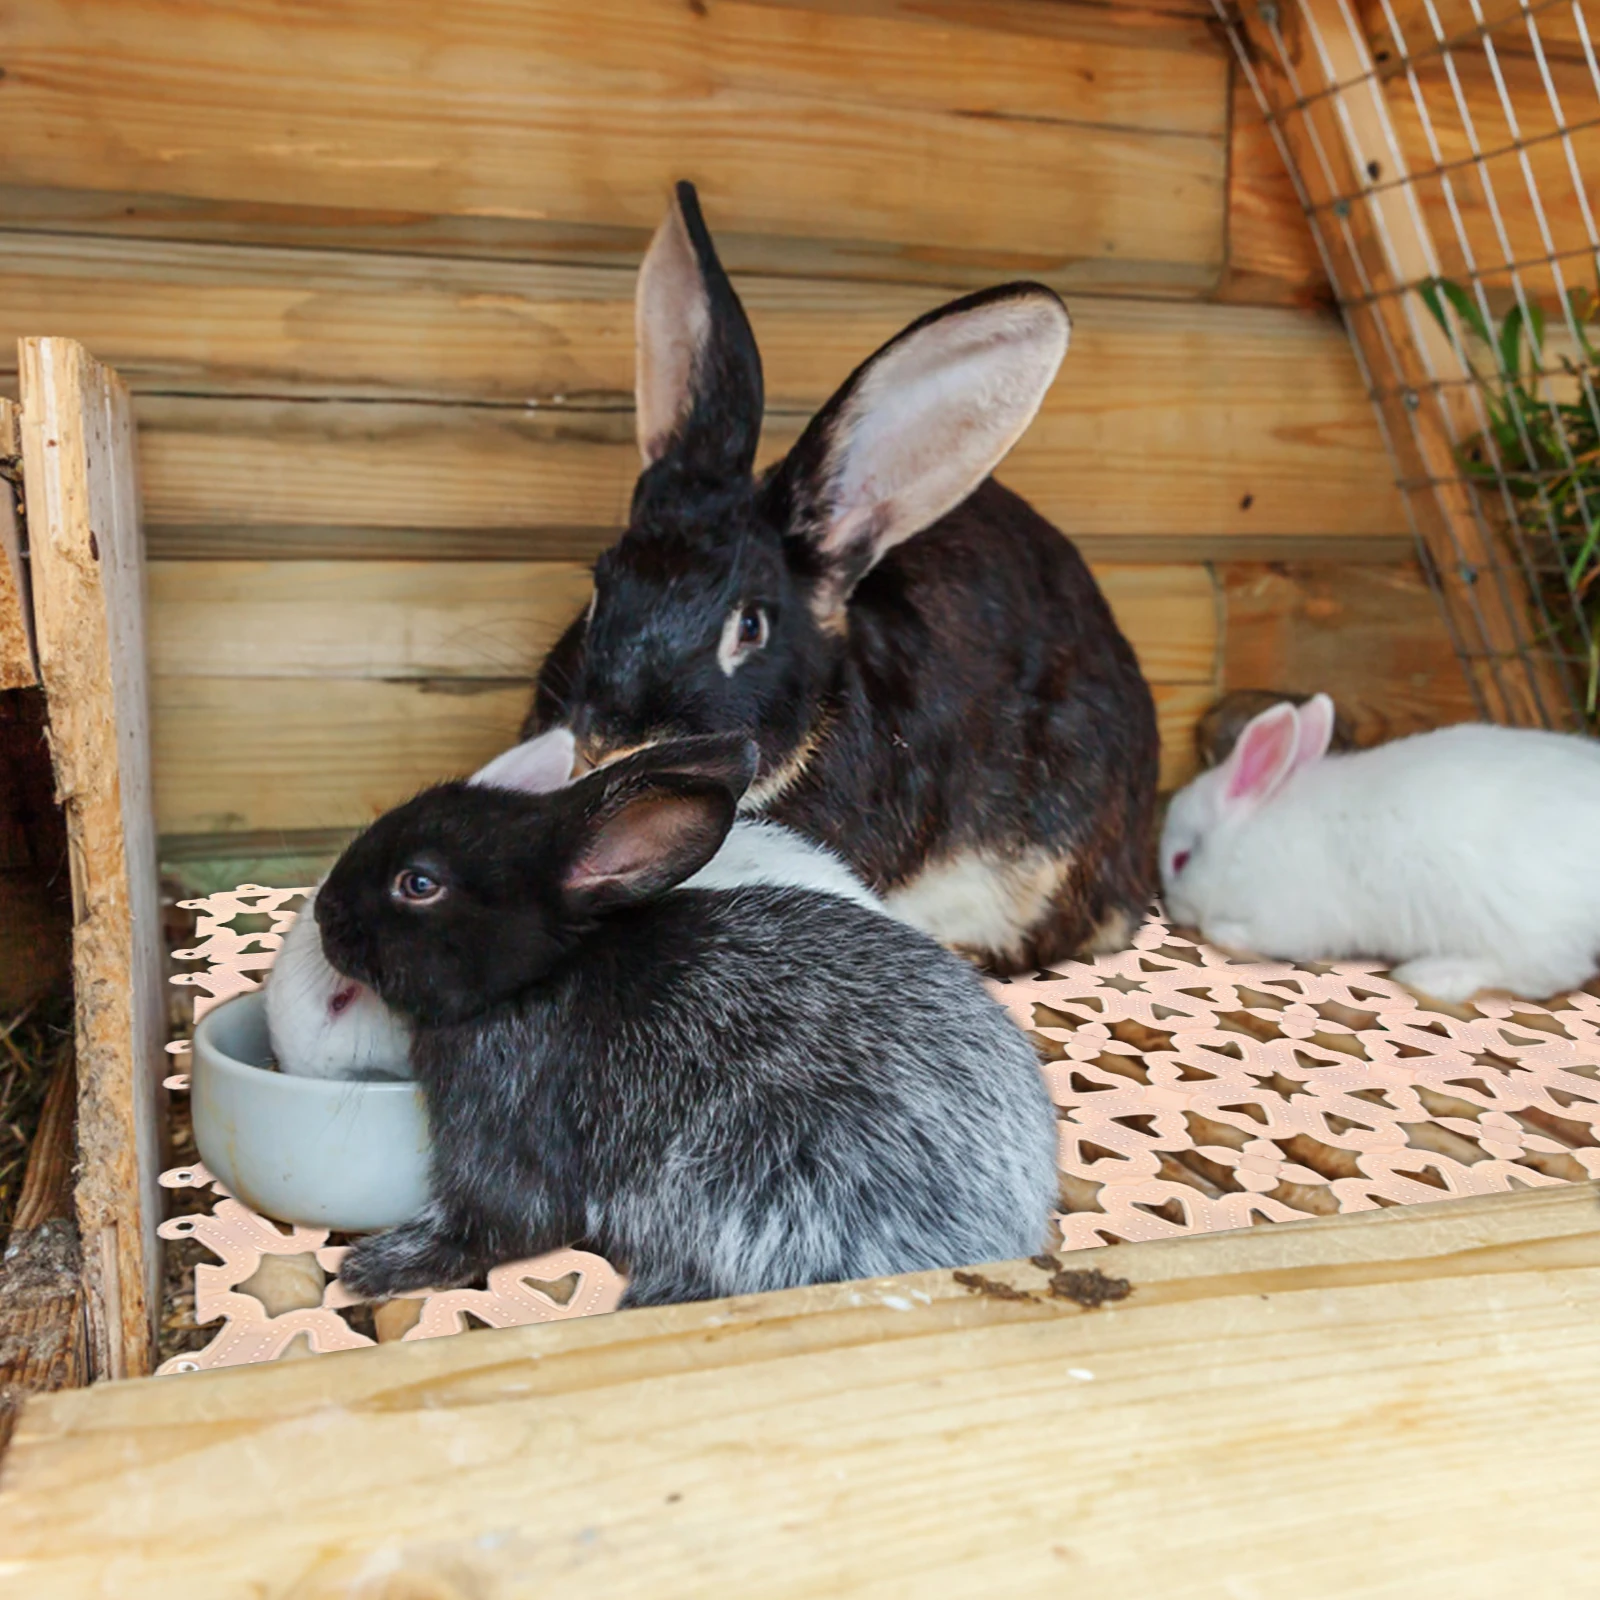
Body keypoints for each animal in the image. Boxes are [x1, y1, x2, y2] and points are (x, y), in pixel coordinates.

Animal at [312, 733, 1060, 1307]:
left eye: (418, 884)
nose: (323, 911)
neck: (540, 976)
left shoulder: (508, 1127)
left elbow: (500, 1224)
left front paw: (372, 1268)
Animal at [1160, 693, 1600, 1004]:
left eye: (1181, 860)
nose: (1174, 909)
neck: (1242, 842)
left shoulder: (1287, 916)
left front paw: (1222, 932)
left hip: (1520, 925)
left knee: (1541, 973)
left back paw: (1430, 976)